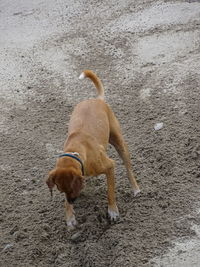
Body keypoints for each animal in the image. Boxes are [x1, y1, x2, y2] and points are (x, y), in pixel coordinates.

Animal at [47, 69, 141, 230]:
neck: (76, 151)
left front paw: (113, 211)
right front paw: (70, 217)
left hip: (119, 142)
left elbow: (110, 192)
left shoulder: (109, 166)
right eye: (61, 189)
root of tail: (97, 100)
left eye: (72, 189)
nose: (72, 201)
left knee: (128, 168)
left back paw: (135, 188)